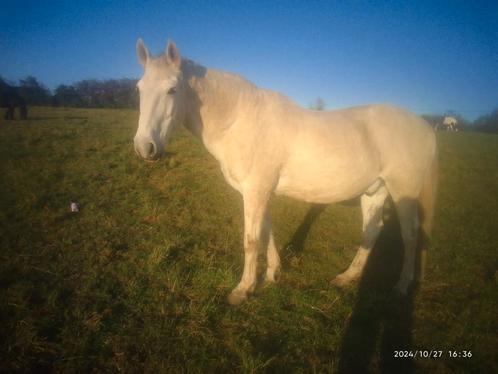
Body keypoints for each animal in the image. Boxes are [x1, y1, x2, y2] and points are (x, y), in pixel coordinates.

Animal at [134, 40, 438, 304]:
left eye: (172, 89)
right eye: (139, 89)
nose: (144, 147)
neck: (240, 120)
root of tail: (425, 127)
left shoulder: (255, 191)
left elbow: (251, 239)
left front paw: (242, 290)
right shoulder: (259, 191)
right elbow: (266, 232)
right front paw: (272, 274)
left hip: (402, 191)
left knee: (410, 236)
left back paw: (401, 287)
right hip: (375, 190)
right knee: (372, 231)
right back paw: (346, 278)